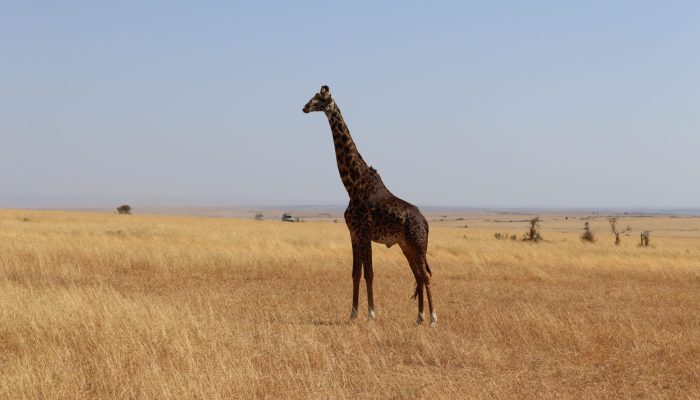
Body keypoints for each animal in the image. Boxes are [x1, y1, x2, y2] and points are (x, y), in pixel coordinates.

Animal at [303, 85, 437, 327]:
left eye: (320, 99)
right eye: (313, 97)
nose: (305, 107)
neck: (352, 184)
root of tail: (425, 222)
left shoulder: (364, 233)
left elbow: (369, 273)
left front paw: (371, 315)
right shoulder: (354, 234)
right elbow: (355, 273)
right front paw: (353, 314)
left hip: (418, 244)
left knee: (425, 275)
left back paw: (432, 318)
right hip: (407, 246)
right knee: (418, 275)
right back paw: (419, 318)